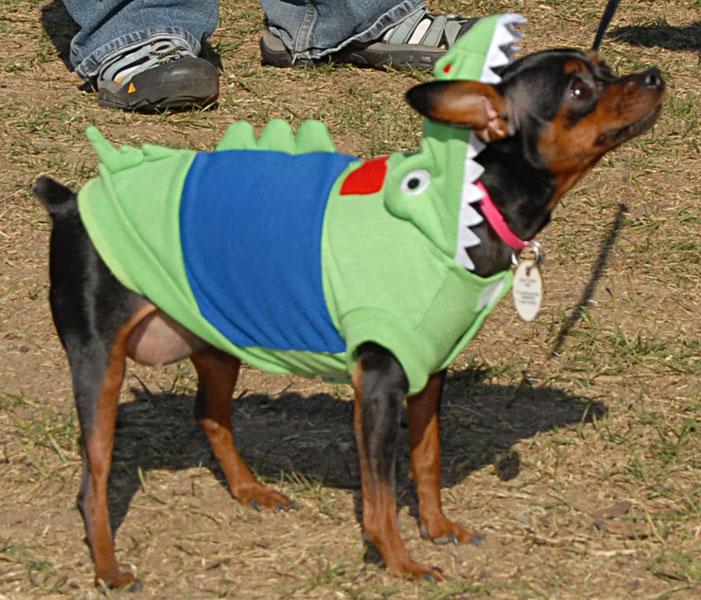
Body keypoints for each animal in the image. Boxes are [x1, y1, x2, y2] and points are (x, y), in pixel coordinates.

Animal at [35, 15, 664, 589]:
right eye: (579, 91)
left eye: (606, 69)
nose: (654, 75)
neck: (462, 208)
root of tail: (69, 203)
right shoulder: (379, 382)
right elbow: (379, 490)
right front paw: (401, 561)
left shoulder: (428, 371)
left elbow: (427, 460)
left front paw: (437, 527)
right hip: (100, 366)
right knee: (93, 482)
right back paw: (110, 568)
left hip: (215, 338)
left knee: (209, 415)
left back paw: (251, 491)